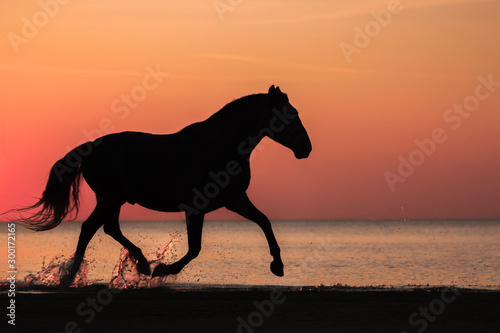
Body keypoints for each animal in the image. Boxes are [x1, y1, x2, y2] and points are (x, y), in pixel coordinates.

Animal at [13, 84, 310, 284]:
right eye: (290, 114)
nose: (305, 149)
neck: (221, 146)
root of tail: (91, 146)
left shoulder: (235, 200)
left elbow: (264, 221)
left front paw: (278, 265)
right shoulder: (196, 207)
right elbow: (194, 248)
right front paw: (164, 269)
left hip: (111, 199)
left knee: (96, 228)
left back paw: (84, 273)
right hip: (111, 198)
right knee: (101, 228)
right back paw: (135, 265)